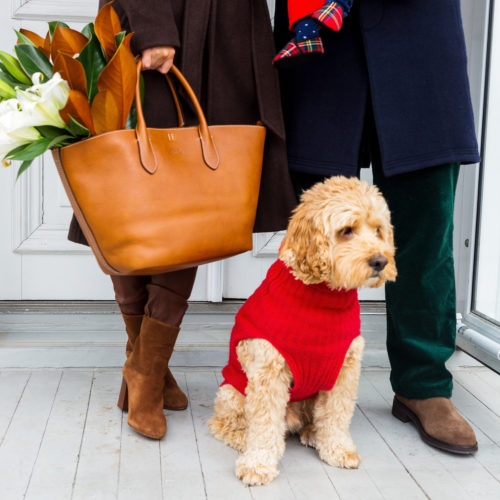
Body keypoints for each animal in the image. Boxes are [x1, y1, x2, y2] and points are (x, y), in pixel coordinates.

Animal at [207, 175, 394, 484]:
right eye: (346, 231)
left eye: (378, 230)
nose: (380, 261)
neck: (322, 296)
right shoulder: (268, 372)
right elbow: (264, 424)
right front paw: (258, 464)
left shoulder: (345, 369)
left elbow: (336, 415)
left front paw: (338, 449)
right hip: (233, 392)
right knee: (224, 424)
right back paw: (245, 440)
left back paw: (312, 434)